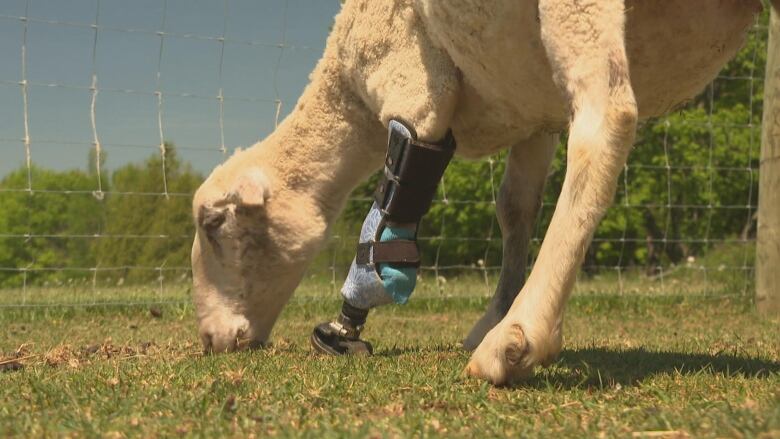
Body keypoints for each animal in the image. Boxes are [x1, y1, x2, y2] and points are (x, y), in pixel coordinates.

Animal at [192, 0, 764, 384]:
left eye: (214, 224)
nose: (209, 341)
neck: (350, 100)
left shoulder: (414, 85)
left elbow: (391, 206)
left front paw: (347, 322)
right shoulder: (536, 116)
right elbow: (516, 208)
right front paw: (495, 310)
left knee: (608, 117)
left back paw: (517, 340)